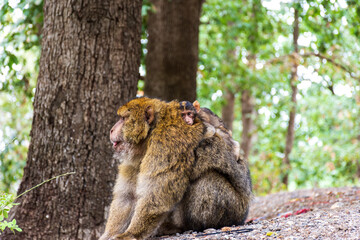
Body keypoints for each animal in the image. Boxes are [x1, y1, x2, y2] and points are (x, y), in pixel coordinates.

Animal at [100, 97, 252, 240]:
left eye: (123, 119)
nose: (111, 130)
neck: (149, 136)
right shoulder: (134, 159)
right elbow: (127, 197)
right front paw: (109, 234)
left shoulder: (166, 143)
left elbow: (155, 197)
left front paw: (131, 233)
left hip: (234, 209)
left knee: (207, 179)